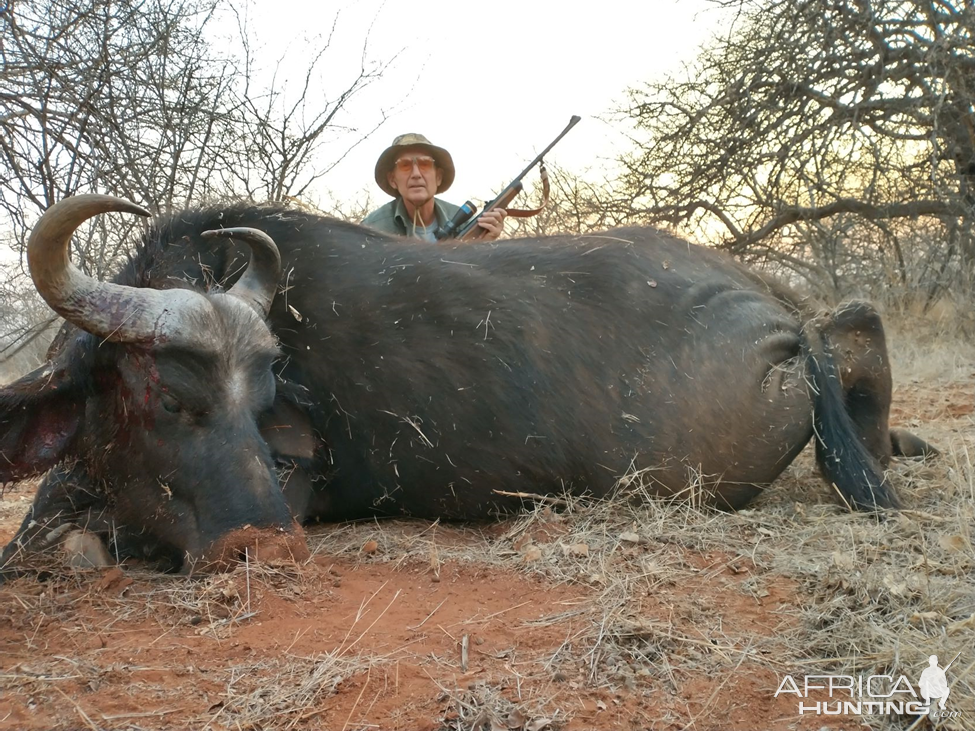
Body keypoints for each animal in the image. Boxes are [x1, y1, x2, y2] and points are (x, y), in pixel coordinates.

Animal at [0, 197, 932, 576]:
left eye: (262, 406)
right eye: (169, 398)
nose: (267, 546)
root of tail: (762, 302)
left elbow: (79, 543)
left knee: (851, 324)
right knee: (852, 328)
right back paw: (896, 441)